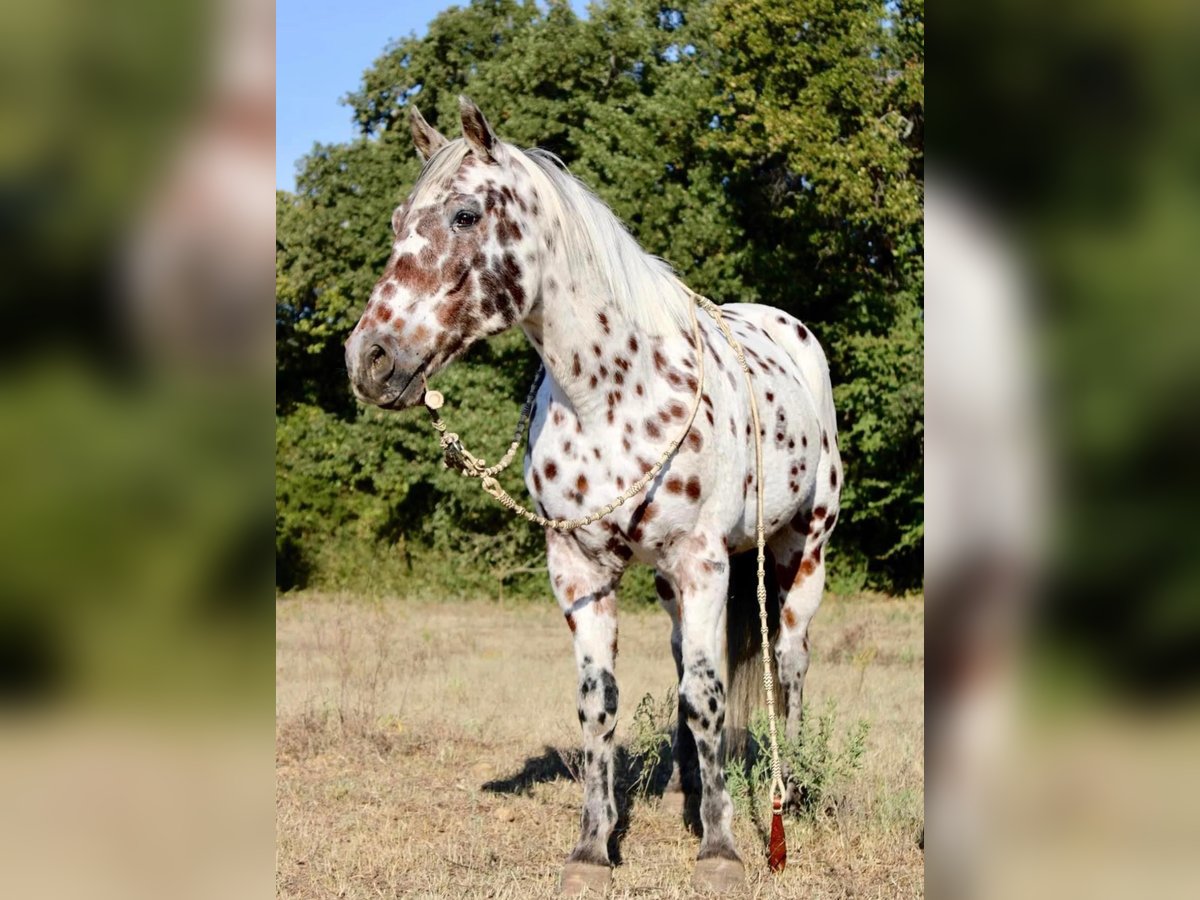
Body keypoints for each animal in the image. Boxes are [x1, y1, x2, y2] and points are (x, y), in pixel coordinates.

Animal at [343, 97, 840, 897]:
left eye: (465, 214)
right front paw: (592, 847)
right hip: (675, 584)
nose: (370, 360)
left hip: (804, 549)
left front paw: (721, 849)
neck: (611, 395)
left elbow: (709, 696)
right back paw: (688, 787)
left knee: (788, 662)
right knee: (683, 658)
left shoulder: (705, 563)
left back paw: (789, 792)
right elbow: (599, 702)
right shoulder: (580, 571)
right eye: (395, 221)